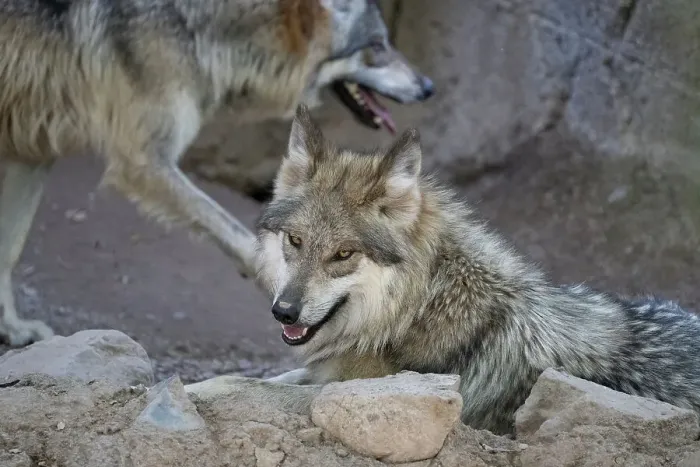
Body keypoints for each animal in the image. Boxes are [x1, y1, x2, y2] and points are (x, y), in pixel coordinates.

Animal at [0, 0, 435, 346]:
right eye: (376, 47)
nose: (429, 85)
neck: (198, 23)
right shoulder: (145, 160)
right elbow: (237, 235)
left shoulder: (32, 151)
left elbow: (10, 248)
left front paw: (12, 329)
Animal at [255, 105, 700, 435]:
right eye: (295, 241)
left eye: (344, 253)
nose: (284, 312)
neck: (421, 308)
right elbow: (268, 380)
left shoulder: (353, 387)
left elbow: (253, 388)